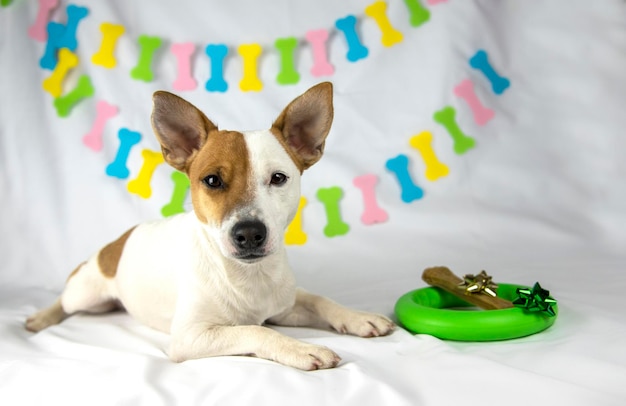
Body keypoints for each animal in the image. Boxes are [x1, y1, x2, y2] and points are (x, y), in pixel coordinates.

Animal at [28, 82, 394, 372]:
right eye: (212, 180)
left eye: (278, 178)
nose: (249, 233)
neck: (247, 275)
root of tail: (119, 241)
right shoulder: (191, 337)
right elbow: (256, 330)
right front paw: (300, 348)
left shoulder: (285, 306)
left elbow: (318, 300)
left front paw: (357, 317)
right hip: (84, 293)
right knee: (63, 301)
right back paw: (41, 317)